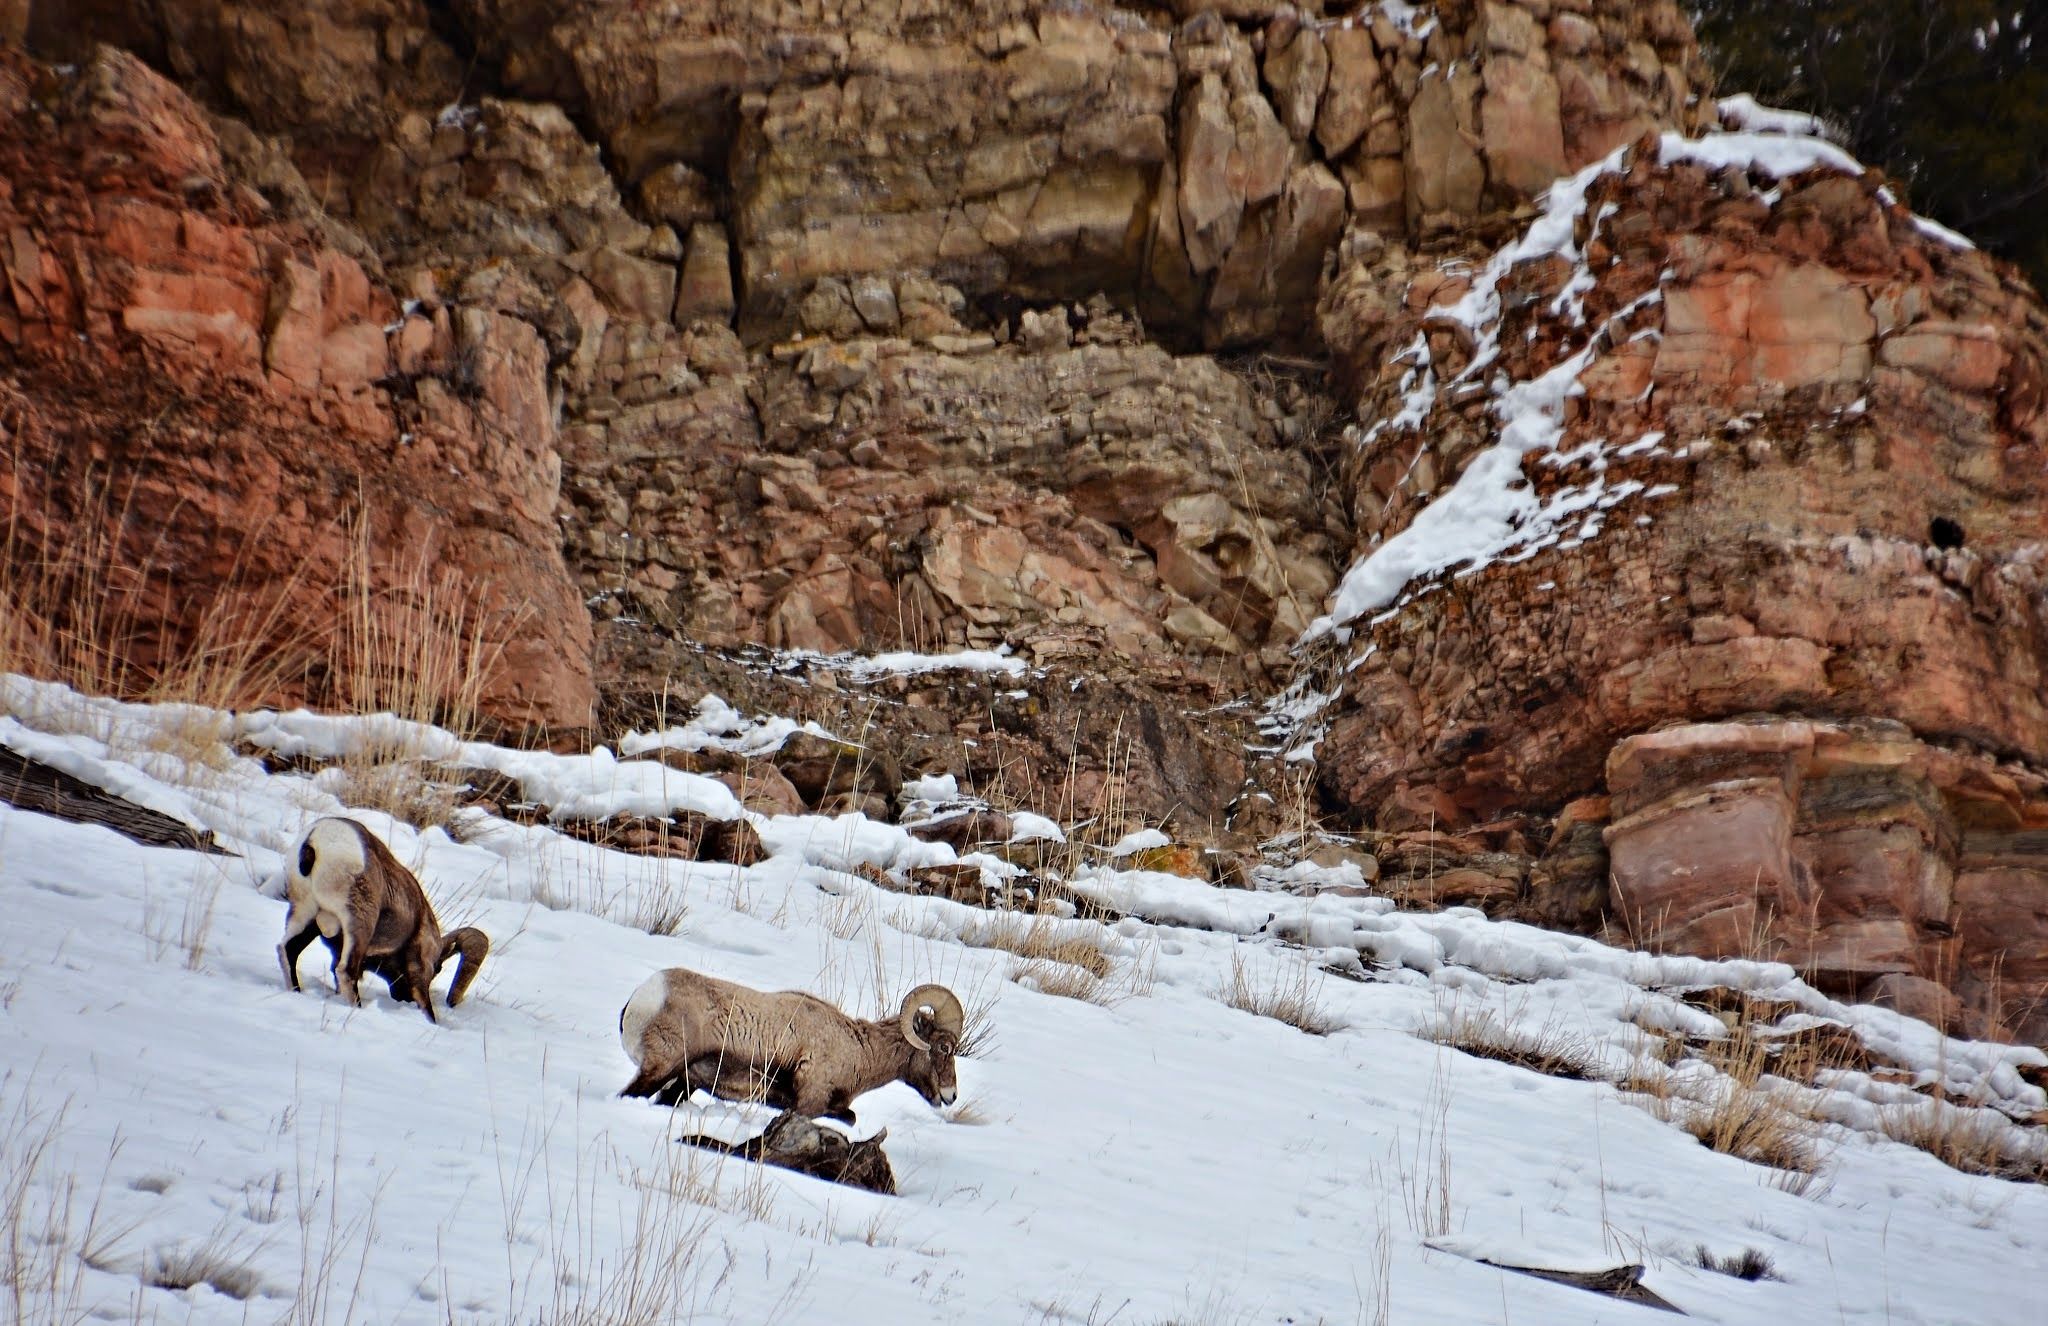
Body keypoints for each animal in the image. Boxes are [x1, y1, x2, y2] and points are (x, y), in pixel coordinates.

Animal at [276, 817, 487, 1023]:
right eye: (437, 969)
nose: (404, 999)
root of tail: (316, 838)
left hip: (305, 914)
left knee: (288, 950)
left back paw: (296, 991)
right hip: (358, 924)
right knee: (346, 971)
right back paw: (356, 1008)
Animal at [617, 970, 964, 1124]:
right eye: (944, 1047)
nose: (950, 1096)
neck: (860, 1052)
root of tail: (642, 997)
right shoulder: (808, 1103)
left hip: (683, 1083)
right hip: (659, 1069)